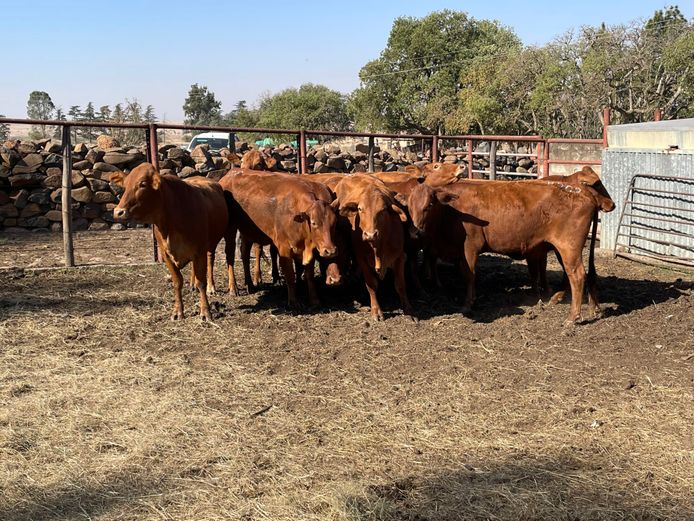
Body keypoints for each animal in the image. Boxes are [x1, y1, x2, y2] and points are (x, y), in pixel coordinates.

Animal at [111, 163, 227, 321]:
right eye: (125, 185)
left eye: (142, 184)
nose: (118, 212)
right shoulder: (166, 255)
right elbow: (177, 282)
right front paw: (177, 311)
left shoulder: (199, 251)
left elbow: (201, 282)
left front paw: (205, 311)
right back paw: (192, 285)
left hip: (211, 244)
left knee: (210, 261)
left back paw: (211, 287)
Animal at [219, 170, 338, 308]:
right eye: (314, 223)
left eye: (334, 222)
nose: (330, 251)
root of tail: (229, 174)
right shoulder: (284, 248)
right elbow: (290, 275)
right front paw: (293, 302)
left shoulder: (309, 249)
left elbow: (309, 276)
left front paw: (314, 300)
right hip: (230, 228)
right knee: (230, 256)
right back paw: (233, 288)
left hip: (247, 230)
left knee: (245, 253)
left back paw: (249, 284)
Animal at [332, 174, 413, 320]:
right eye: (360, 209)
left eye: (382, 211)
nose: (370, 234)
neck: (378, 247)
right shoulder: (362, 259)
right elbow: (371, 284)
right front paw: (376, 310)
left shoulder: (399, 257)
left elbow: (400, 284)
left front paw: (408, 309)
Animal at [407, 179, 607, 324]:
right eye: (408, 205)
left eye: (430, 204)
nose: (414, 232)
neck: (452, 211)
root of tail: (583, 191)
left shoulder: (470, 247)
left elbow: (469, 275)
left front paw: (468, 304)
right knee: (574, 275)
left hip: (568, 247)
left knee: (577, 275)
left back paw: (572, 317)